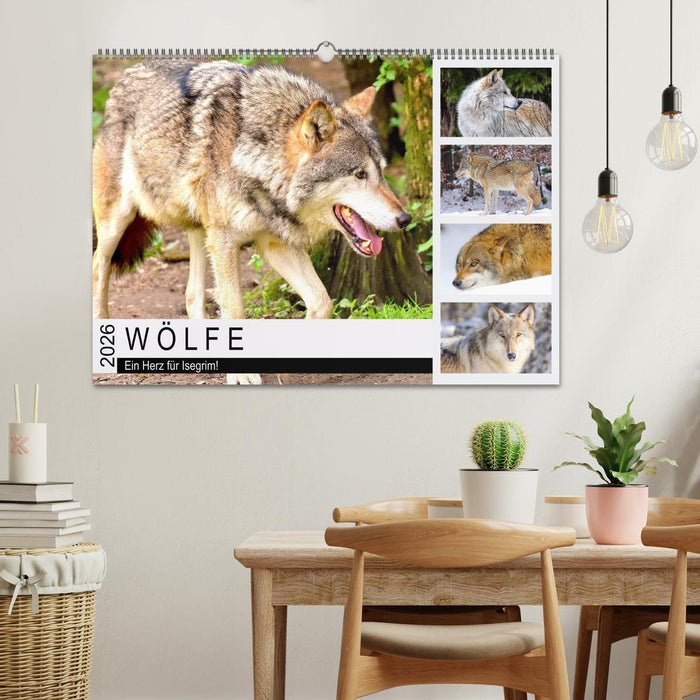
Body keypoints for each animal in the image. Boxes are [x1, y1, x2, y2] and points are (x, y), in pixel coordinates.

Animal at [93, 62, 411, 383]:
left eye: (382, 172)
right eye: (360, 174)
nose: (405, 218)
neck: (255, 156)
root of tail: (125, 76)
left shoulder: (274, 243)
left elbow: (323, 302)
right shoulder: (226, 240)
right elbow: (235, 309)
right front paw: (243, 374)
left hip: (200, 231)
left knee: (191, 295)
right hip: (119, 220)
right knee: (98, 264)